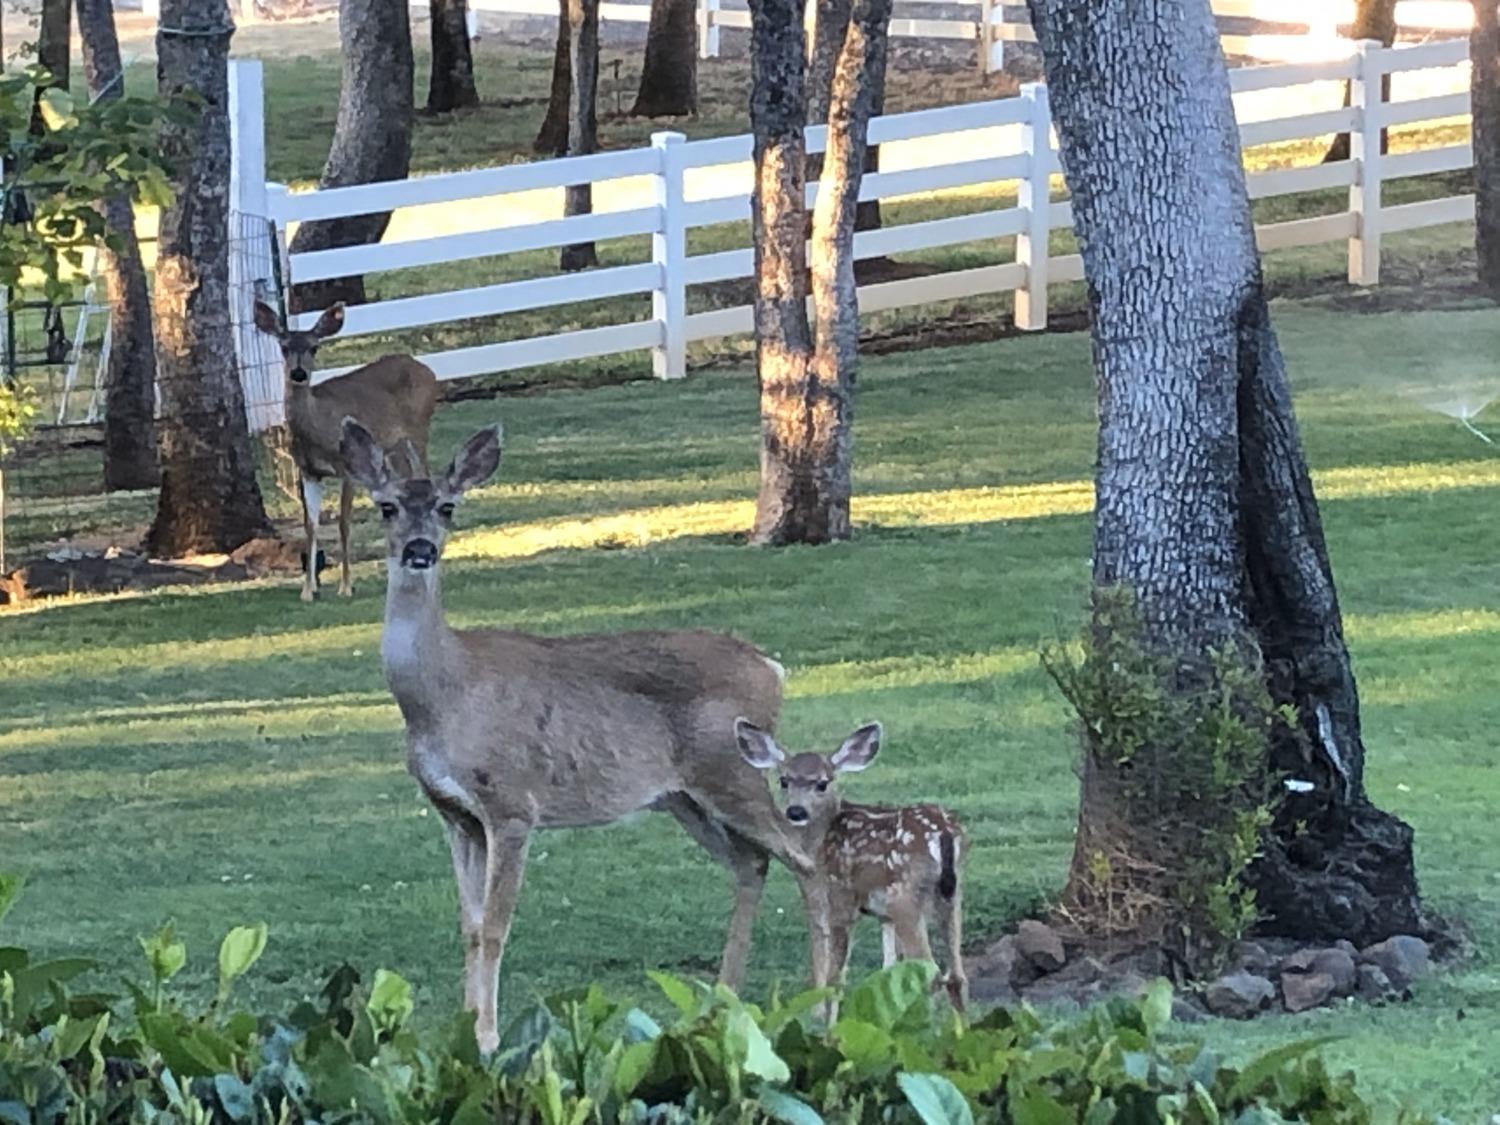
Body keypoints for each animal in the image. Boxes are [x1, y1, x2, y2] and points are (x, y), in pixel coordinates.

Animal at [252, 297, 438, 600]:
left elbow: (343, 523)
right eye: (284, 347)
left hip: (418, 431)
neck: (316, 428)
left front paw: (346, 586)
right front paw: (308, 589)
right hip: (391, 449)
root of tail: (425, 368)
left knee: (427, 479)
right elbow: (311, 525)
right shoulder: (308, 472)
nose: (298, 373)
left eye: (314, 347)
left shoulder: (347, 466)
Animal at [340, 417, 822, 1056]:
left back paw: (824, 999)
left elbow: (496, 927)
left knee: (805, 860)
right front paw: (464, 1032)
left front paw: (488, 1037)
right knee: (753, 863)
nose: (421, 550)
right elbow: (469, 927)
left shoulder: (511, 804)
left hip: (733, 770)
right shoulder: (455, 814)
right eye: (387, 506)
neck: (446, 695)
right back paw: (723, 1000)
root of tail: (773, 668)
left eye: (448, 506)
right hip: (683, 796)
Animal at [732, 723, 966, 1014]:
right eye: (784, 780)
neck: (822, 839)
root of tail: (943, 834)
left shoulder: (840, 897)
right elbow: (888, 970)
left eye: (822, 783)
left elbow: (835, 980)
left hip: (905, 897)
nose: (796, 811)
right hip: (952, 895)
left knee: (932, 973)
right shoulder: (883, 916)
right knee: (956, 976)